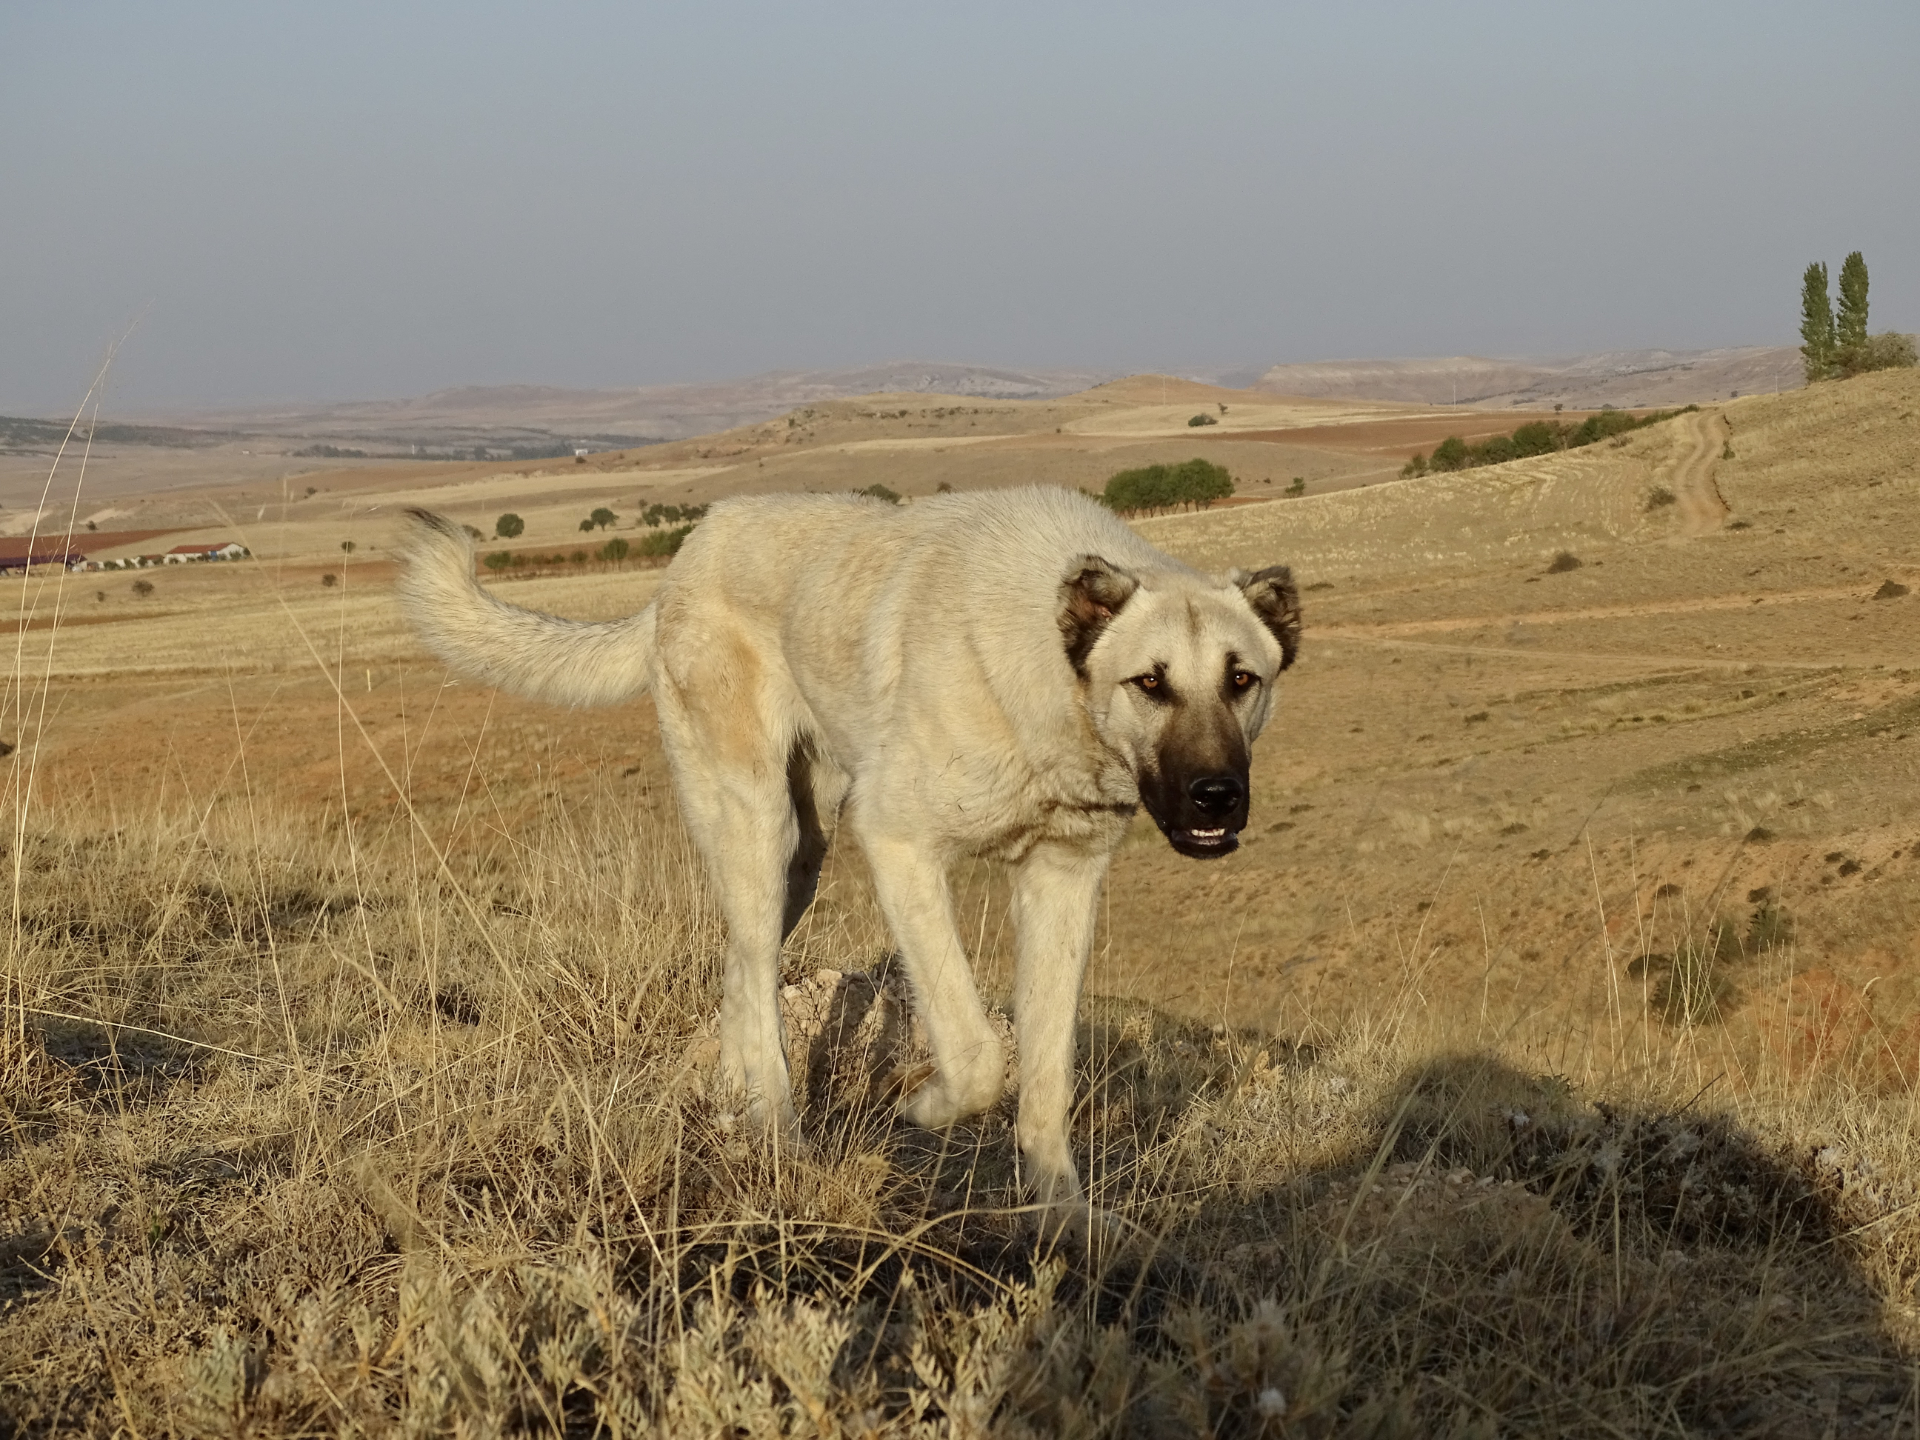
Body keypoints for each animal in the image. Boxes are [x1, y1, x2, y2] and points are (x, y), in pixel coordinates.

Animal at [405, 487, 1305, 1221]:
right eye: (1149, 682)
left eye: (1242, 680)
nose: (1216, 797)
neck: (1054, 673)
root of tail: (686, 555)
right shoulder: (898, 842)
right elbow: (978, 1052)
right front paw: (925, 1110)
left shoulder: (1062, 879)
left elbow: (1048, 1079)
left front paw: (1062, 1221)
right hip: (758, 822)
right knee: (756, 968)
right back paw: (779, 1136)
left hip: (801, 857)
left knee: (741, 965)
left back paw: (736, 1107)